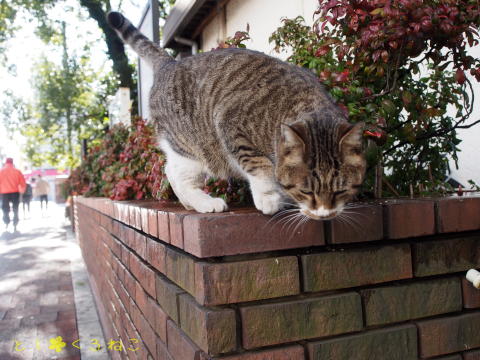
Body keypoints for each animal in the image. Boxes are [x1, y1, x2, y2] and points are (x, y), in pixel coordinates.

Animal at [107, 11, 366, 219]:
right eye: (306, 190)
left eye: (341, 191)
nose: (325, 215)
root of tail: (169, 63)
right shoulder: (230, 124)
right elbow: (259, 165)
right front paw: (269, 197)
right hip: (192, 146)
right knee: (179, 174)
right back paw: (205, 203)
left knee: (170, 170)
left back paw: (189, 203)